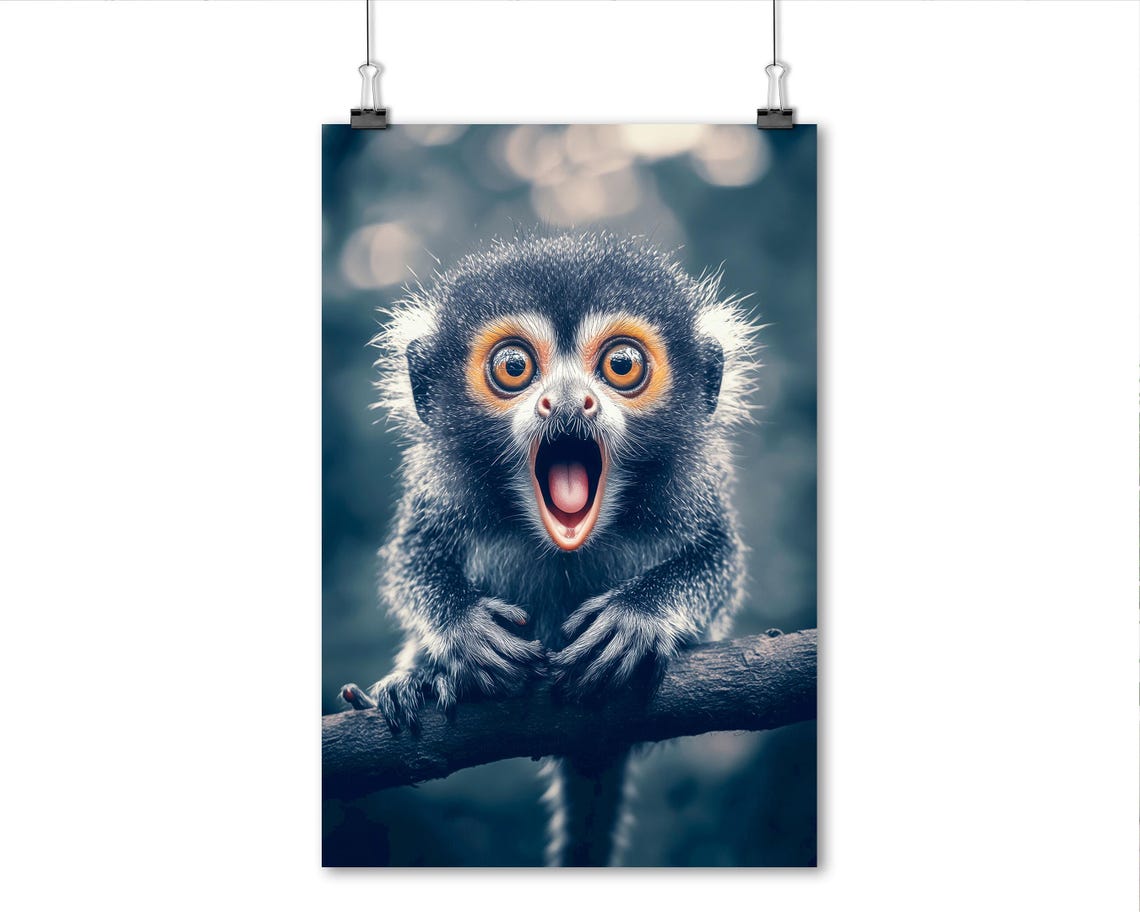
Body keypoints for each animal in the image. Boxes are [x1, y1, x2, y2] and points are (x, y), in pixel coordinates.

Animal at [340, 231, 757, 866]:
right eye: (514, 367)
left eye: (621, 365)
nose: (564, 402)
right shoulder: (442, 490)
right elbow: (413, 558)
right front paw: (464, 631)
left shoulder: (692, 488)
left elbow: (718, 560)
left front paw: (636, 618)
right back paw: (422, 680)